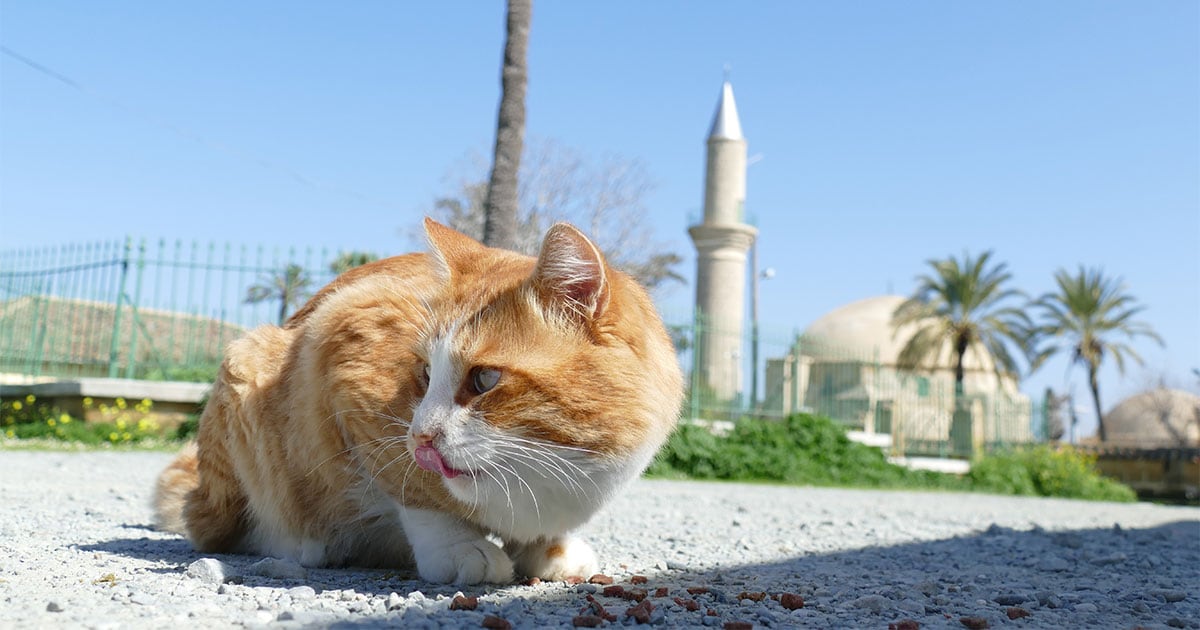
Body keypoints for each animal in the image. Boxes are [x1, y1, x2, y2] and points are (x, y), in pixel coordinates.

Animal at [154, 219, 686, 585]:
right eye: (426, 374)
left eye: (484, 379)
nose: (422, 435)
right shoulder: (343, 342)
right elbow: (416, 493)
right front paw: (460, 548)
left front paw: (552, 549)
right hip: (246, 365)